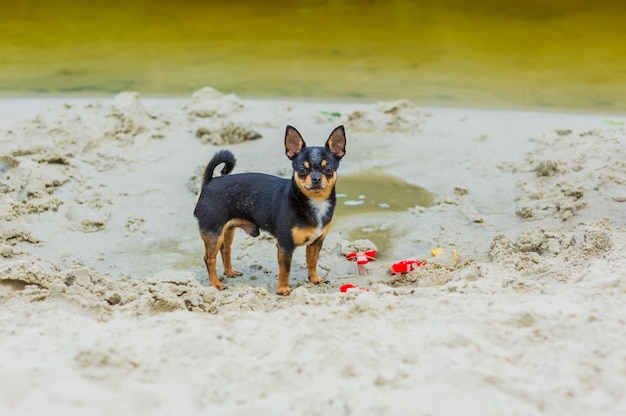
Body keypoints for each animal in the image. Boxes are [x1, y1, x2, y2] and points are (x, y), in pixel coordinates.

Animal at [193, 125, 344, 294]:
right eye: (302, 170)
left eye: (329, 169)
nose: (316, 178)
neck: (314, 202)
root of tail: (209, 182)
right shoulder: (285, 246)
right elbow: (285, 269)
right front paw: (283, 289)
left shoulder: (316, 243)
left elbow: (312, 262)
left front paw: (315, 279)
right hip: (213, 233)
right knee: (209, 258)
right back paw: (215, 284)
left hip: (227, 230)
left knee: (225, 250)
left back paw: (229, 272)